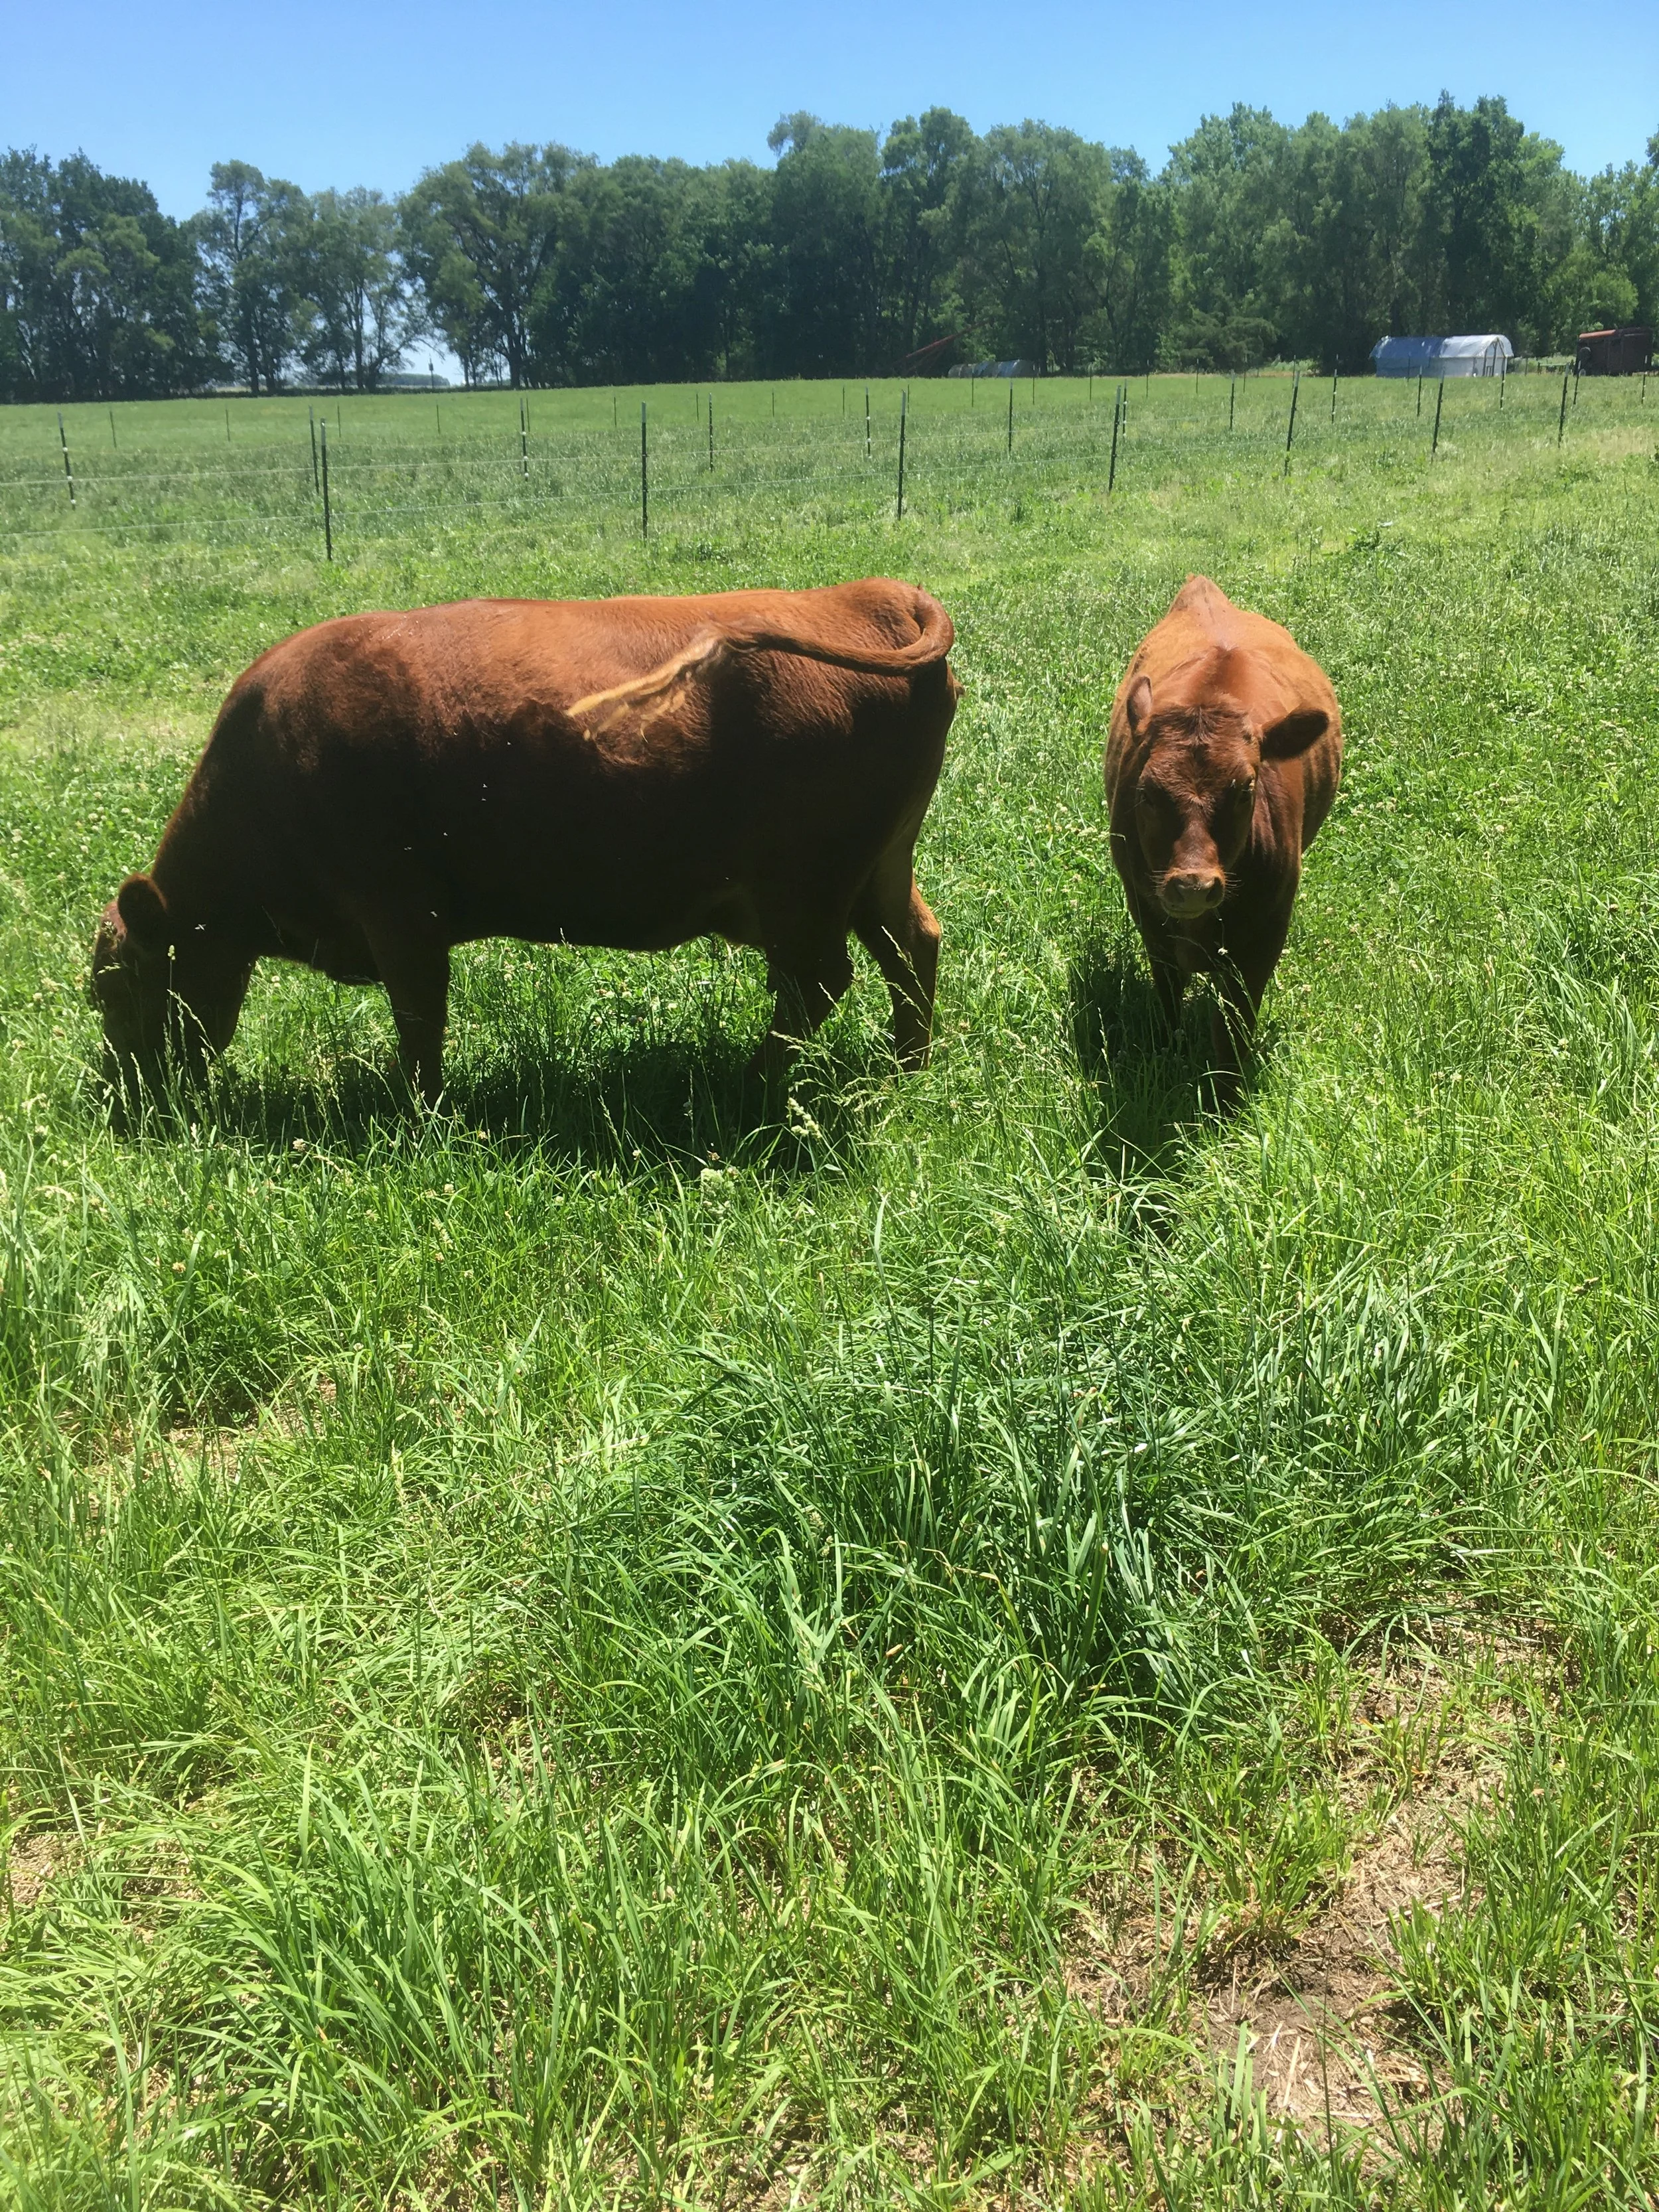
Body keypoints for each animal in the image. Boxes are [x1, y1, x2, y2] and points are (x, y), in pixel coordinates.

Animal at [90, 580, 958, 1110]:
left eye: (115, 988)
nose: (119, 1101)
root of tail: (867, 594)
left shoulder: (399, 910)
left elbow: (420, 1020)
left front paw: (419, 1112)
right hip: (876, 868)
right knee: (911, 943)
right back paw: (906, 1071)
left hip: (804, 887)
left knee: (819, 981)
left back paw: (744, 1086)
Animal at [1105, 575, 1342, 1089]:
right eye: (1147, 792)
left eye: (1246, 788)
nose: (1193, 885)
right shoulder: (1148, 912)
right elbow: (1168, 993)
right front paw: (1168, 1052)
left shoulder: (1264, 935)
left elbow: (1232, 1028)